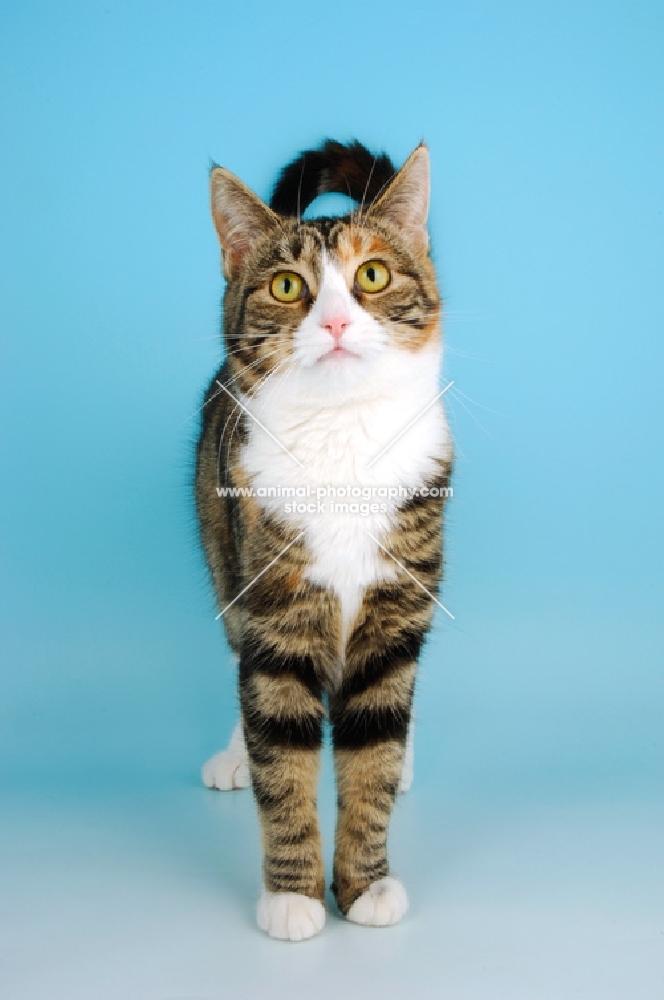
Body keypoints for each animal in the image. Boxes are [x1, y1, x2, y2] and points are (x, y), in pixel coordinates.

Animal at [192, 139, 452, 936]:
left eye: (371, 275)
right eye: (286, 286)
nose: (335, 323)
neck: (342, 436)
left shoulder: (398, 604)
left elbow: (371, 751)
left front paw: (366, 883)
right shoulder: (273, 602)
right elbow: (281, 751)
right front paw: (294, 895)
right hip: (222, 547)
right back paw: (233, 752)